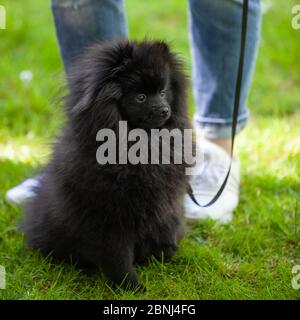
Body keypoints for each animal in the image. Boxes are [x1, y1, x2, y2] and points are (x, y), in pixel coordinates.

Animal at [22, 40, 193, 290]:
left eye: (163, 92)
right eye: (141, 97)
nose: (164, 110)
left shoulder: (160, 203)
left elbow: (165, 228)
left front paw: (161, 253)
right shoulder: (108, 216)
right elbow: (117, 256)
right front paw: (130, 287)